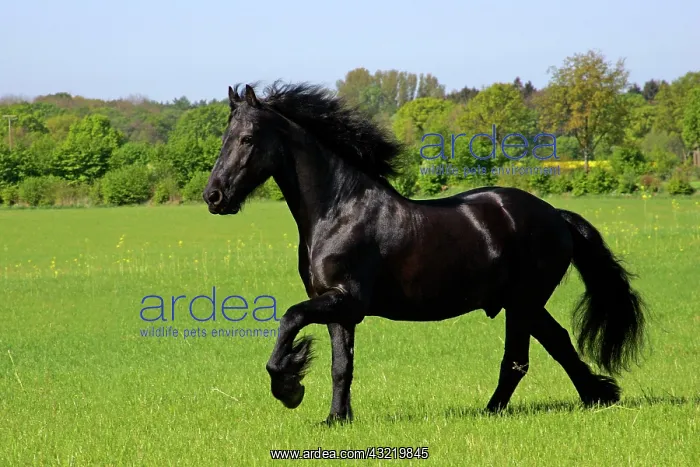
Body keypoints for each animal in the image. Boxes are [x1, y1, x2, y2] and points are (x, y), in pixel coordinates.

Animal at [203, 81, 647, 424]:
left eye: (246, 139)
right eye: (223, 139)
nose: (214, 196)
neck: (338, 210)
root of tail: (557, 216)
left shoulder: (344, 299)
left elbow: (290, 320)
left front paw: (289, 386)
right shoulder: (337, 307)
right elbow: (341, 366)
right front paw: (336, 418)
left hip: (523, 303)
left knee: (520, 359)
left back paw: (499, 410)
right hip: (522, 304)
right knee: (556, 343)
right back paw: (596, 396)